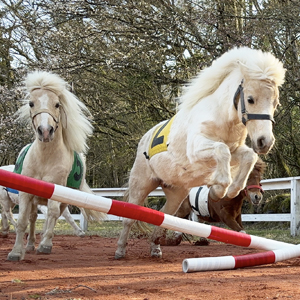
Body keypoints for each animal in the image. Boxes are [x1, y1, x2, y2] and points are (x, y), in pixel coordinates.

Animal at [7, 70, 105, 260]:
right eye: (31, 103)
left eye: (57, 104)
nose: (45, 131)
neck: (45, 158)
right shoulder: (25, 193)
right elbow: (22, 220)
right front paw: (16, 251)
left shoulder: (56, 189)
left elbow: (52, 215)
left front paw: (45, 244)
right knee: (32, 218)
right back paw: (30, 244)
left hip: (64, 199)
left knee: (55, 216)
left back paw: (43, 242)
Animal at [115, 46, 286, 258]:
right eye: (250, 99)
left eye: (275, 102)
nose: (265, 142)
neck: (221, 117)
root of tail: (143, 139)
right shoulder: (198, 150)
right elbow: (222, 152)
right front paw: (217, 191)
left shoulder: (235, 150)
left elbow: (249, 156)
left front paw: (231, 189)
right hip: (141, 184)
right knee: (129, 217)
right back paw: (121, 250)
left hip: (177, 192)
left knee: (164, 215)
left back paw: (155, 247)